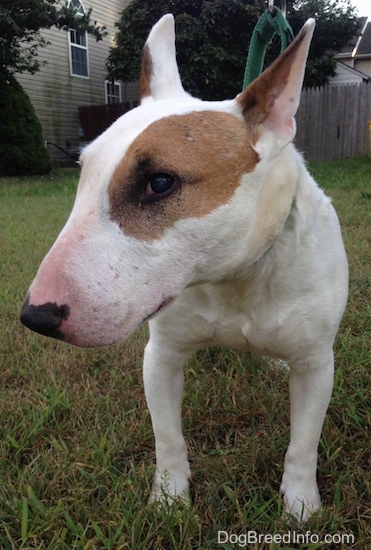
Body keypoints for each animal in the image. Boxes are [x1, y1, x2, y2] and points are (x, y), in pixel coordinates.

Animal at [21, 14, 350, 520]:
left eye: (159, 183)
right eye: (83, 174)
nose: (36, 316)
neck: (234, 277)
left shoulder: (317, 365)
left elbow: (303, 444)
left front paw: (300, 507)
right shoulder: (162, 355)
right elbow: (167, 436)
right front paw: (170, 499)